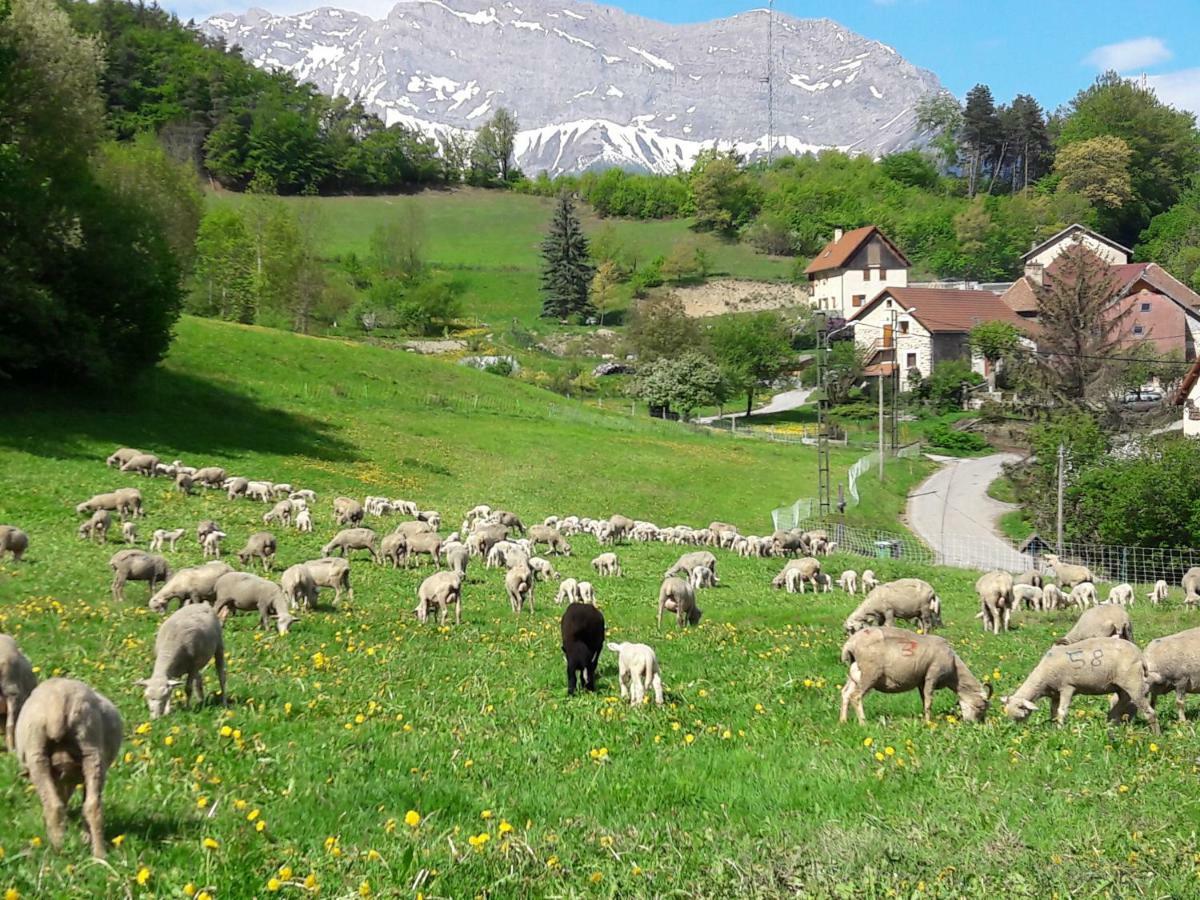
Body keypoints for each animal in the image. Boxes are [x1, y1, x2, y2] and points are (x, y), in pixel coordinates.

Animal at [15, 676, 121, 859]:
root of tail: (59, 700)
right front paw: (85, 837)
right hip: (91, 751)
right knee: (92, 805)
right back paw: (99, 854)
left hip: (37, 752)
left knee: (53, 805)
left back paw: (59, 850)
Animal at [840, 628, 988, 729]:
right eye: (981, 707)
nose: (974, 724)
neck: (954, 670)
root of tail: (850, 644)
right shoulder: (932, 676)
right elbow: (929, 701)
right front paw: (928, 722)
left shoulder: (921, 681)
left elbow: (924, 700)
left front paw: (925, 719)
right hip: (870, 673)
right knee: (856, 696)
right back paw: (863, 723)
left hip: (855, 674)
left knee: (845, 693)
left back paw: (843, 721)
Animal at [998, 633, 1156, 734]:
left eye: (1021, 716)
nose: (1018, 733)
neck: (1042, 678)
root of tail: (1140, 655)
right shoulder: (1055, 694)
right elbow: (1053, 713)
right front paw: (1054, 729)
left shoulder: (1067, 687)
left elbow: (1062, 711)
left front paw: (1060, 731)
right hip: (1121, 687)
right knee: (1121, 704)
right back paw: (1111, 726)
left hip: (1133, 683)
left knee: (1149, 712)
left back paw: (1155, 735)